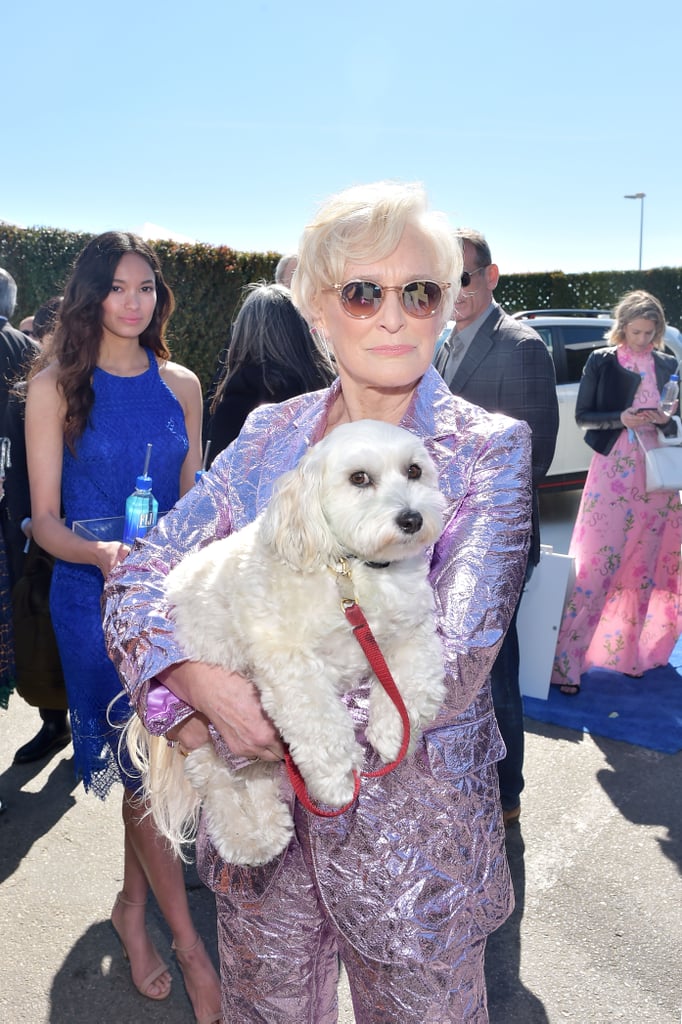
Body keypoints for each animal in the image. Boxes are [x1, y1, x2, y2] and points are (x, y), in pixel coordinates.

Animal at [127, 419, 446, 868]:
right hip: (208, 710)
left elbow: (413, 683)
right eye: (359, 478)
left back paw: (270, 828)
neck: (352, 570)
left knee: (257, 778)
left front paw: (393, 733)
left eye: (414, 471)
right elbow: (320, 722)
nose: (412, 518)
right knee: (216, 778)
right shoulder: (290, 664)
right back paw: (244, 838)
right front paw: (336, 779)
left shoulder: (414, 631)